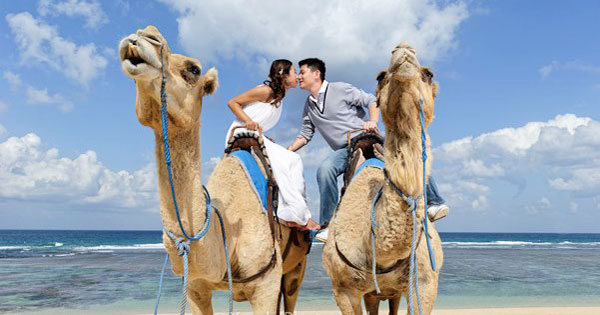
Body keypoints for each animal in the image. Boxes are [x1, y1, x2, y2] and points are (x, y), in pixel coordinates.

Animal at [322, 40, 442, 314]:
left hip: (393, 291)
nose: (404, 48)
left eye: (429, 74)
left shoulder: (425, 283)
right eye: (380, 76)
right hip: (373, 293)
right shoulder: (343, 290)